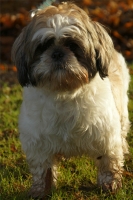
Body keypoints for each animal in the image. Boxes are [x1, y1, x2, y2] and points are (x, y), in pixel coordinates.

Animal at [11, 1, 130, 198]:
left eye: (73, 46)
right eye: (42, 47)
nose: (57, 53)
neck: (64, 91)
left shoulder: (106, 136)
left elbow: (108, 162)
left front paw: (110, 185)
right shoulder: (38, 143)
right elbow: (42, 170)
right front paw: (41, 190)